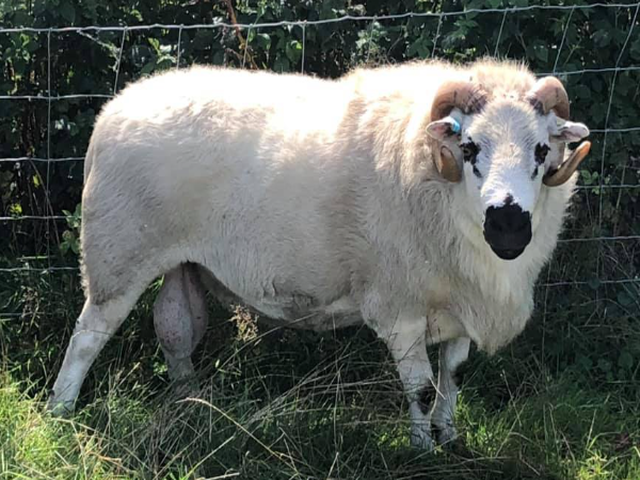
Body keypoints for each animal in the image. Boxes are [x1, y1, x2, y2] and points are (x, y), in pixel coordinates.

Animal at [47, 58, 591, 450]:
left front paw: (450, 438)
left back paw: (189, 401)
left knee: (176, 329)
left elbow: (452, 378)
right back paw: (60, 410)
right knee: (87, 338)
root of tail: (117, 107)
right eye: (470, 147)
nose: (507, 224)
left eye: (542, 151)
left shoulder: (460, 302)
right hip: (118, 254)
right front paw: (422, 450)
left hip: (180, 262)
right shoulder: (398, 307)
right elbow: (419, 387)